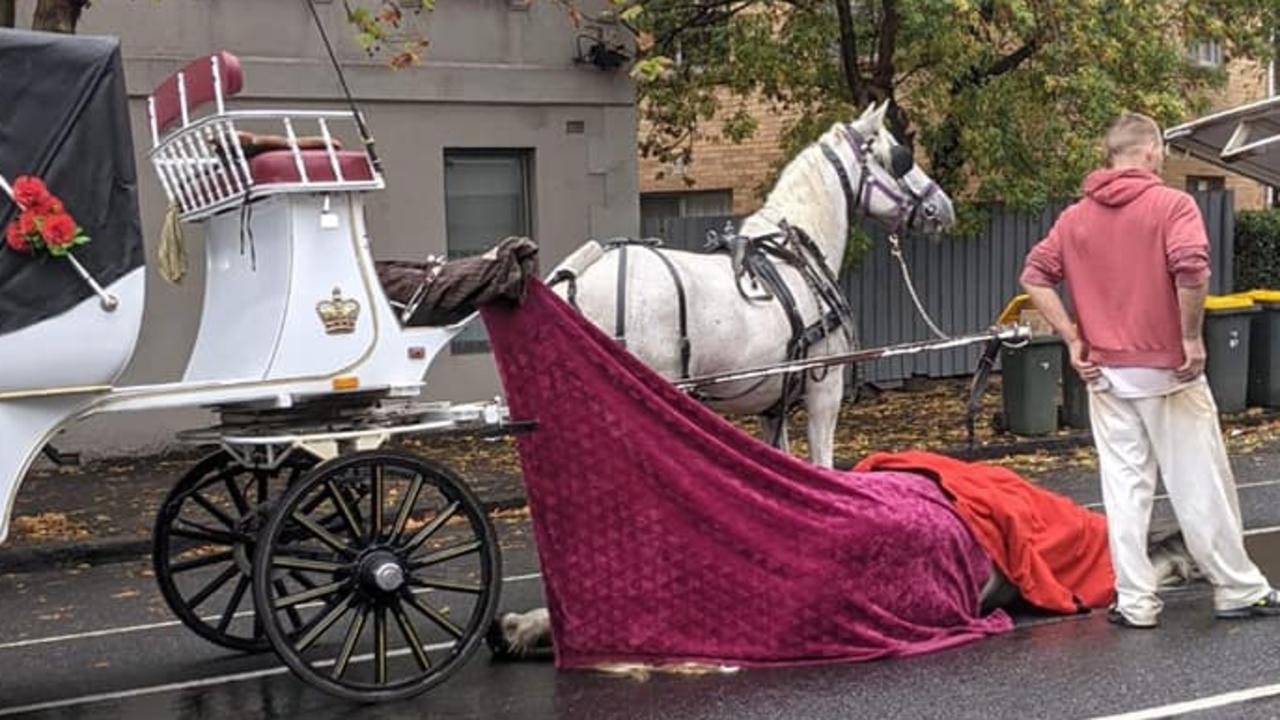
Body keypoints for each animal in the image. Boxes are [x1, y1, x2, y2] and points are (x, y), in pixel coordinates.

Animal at [555, 103, 957, 468]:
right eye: (899, 157)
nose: (943, 206)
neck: (795, 253)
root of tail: (575, 283)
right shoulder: (824, 392)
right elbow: (822, 466)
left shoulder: (772, 404)